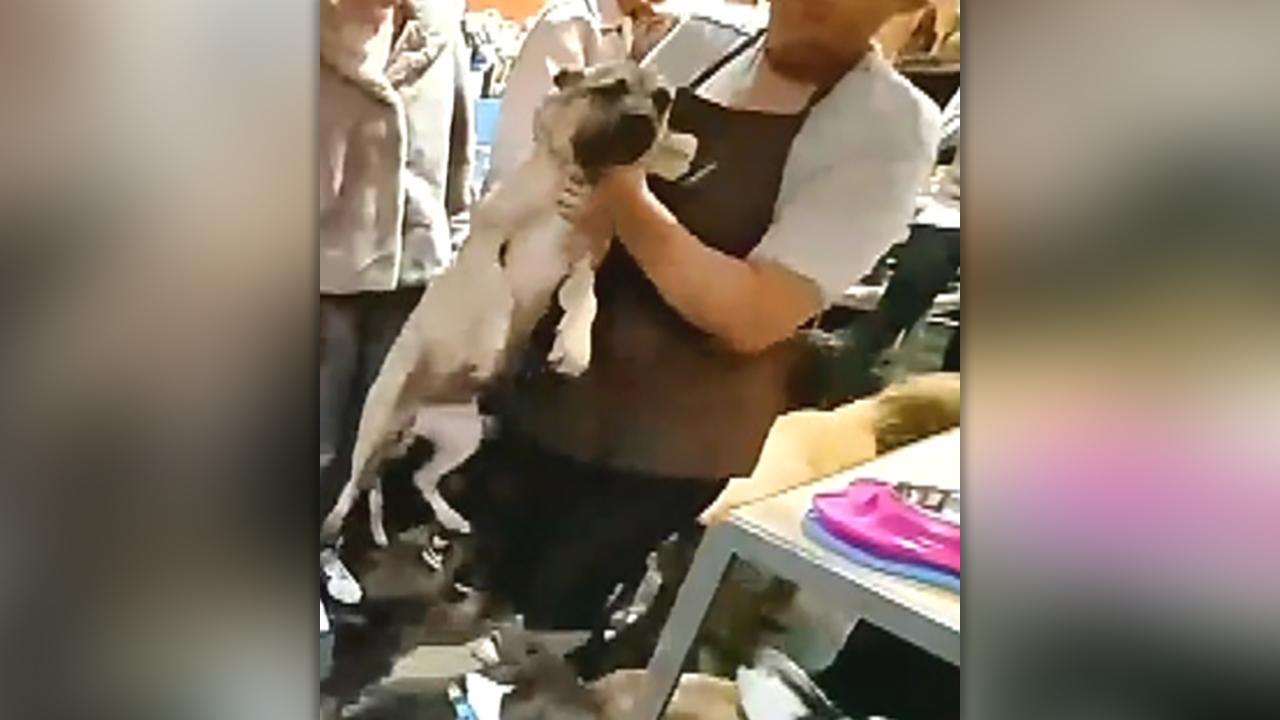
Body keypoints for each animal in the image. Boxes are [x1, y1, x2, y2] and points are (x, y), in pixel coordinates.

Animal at [325, 63, 696, 543]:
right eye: (610, 89)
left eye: (662, 100)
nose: (643, 121)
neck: (577, 175)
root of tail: (409, 420)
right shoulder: (486, 241)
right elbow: (497, 292)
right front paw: (497, 338)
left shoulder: (581, 260)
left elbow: (585, 297)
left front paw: (574, 343)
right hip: (375, 425)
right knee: (353, 483)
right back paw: (335, 522)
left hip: (462, 437)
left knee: (419, 478)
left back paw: (449, 516)